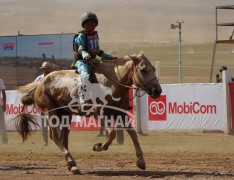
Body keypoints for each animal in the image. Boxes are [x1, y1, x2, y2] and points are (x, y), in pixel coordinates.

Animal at [14, 51, 161, 174]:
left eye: (154, 69)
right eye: (143, 69)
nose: (157, 91)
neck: (111, 82)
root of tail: (39, 85)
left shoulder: (122, 114)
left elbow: (133, 134)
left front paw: (141, 161)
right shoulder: (100, 114)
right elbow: (112, 133)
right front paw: (99, 146)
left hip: (66, 114)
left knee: (63, 137)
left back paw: (71, 165)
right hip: (51, 113)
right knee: (55, 136)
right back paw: (71, 162)